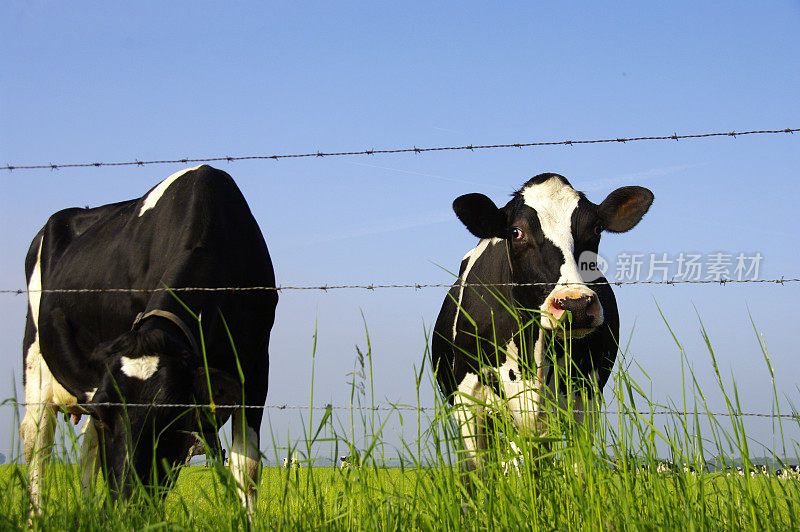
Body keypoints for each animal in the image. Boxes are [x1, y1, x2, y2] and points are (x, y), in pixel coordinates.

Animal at [20, 165, 276, 512]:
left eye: (174, 417)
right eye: (109, 417)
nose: (127, 508)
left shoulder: (256, 362)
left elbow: (246, 467)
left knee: (87, 447)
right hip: (35, 362)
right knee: (38, 444)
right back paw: (37, 515)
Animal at [434, 172, 652, 476]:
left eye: (596, 228)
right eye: (516, 232)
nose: (575, 305)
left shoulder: (587, 396)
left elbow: (578, 473)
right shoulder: (467, 398)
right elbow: (477, 474)